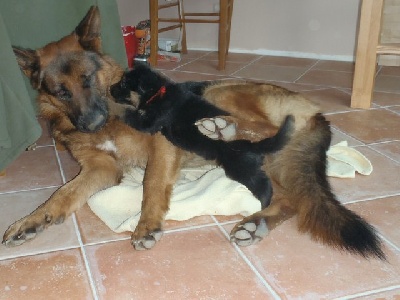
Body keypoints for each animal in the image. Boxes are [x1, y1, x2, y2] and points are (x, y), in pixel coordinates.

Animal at [109, 63, 294, 209]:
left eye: (124, 83)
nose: (109, 89)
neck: (158, 92)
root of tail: (256, 143)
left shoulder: (150, 120)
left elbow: (128, 114)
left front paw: (113, 108)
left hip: (241, 167)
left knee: (264, 186)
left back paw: (261, 206)